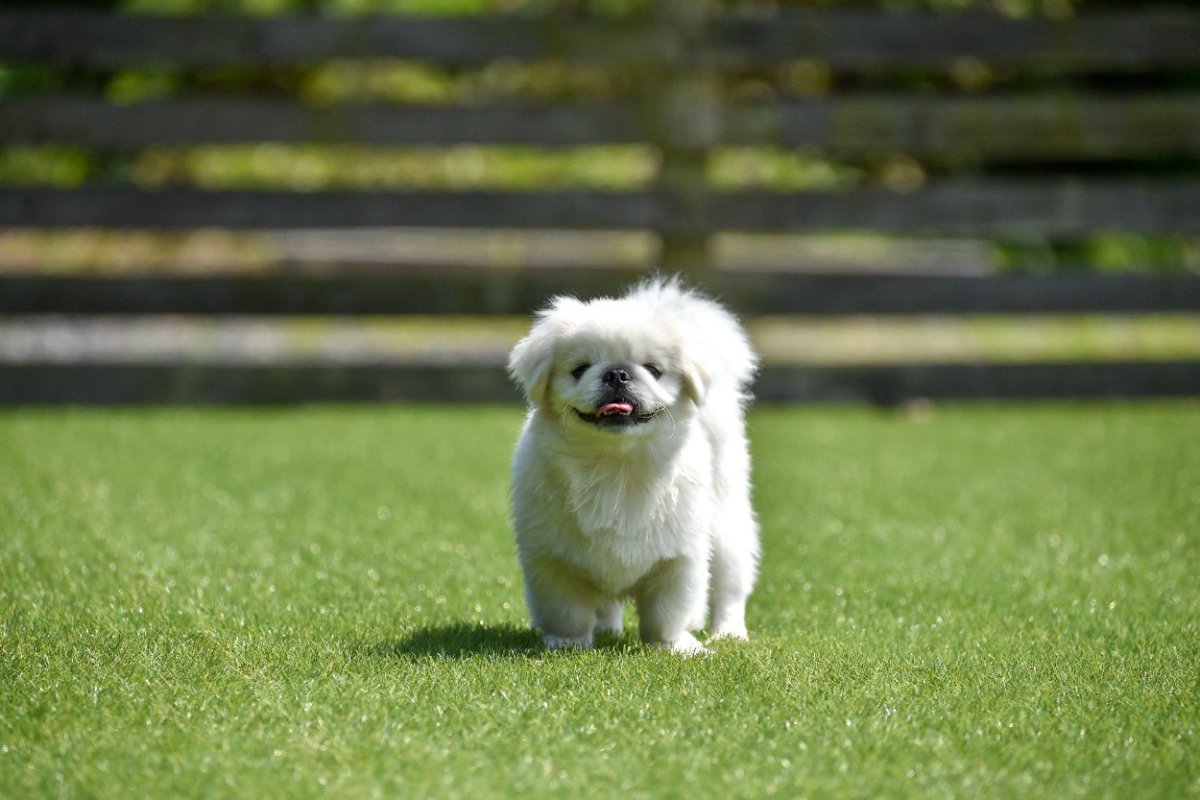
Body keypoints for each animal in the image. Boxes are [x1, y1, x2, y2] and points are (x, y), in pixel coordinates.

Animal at [506, 278, 758, 652]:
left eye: (653, 370)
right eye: (580, 370)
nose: (617, 373)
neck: (616, 467)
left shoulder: (680, 558)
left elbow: (666, 613)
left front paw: (673, 647)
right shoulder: (552, 560)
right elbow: (568, 611)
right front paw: (567, 644)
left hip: (726, 529)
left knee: (729, 589)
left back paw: (729, 633)